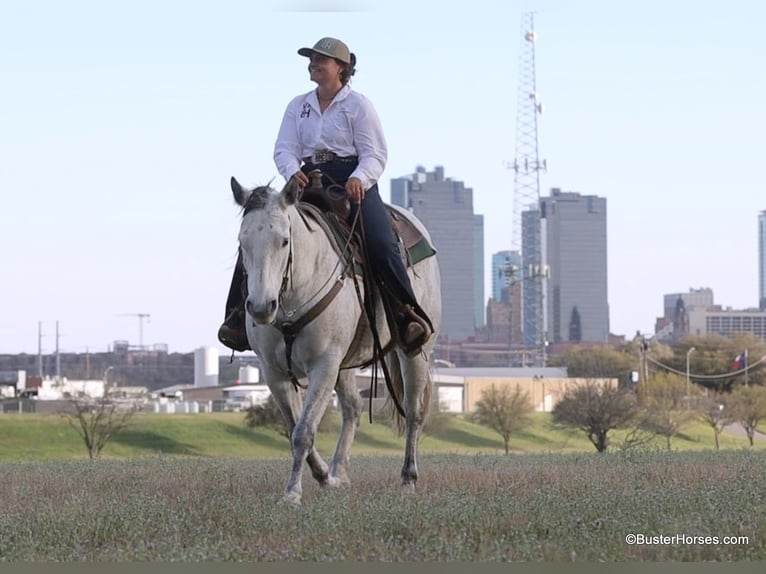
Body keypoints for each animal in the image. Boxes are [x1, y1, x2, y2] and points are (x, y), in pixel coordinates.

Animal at [229, 175, 442, 505]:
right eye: (243, 242)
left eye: (284, 241)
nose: (261, 308)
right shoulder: (274, 371)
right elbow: (294, 427)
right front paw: (323, 476)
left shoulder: (324, 364)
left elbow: (303, 431)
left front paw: (292, 493)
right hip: (346, 363)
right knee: (353, 408)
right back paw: (339, 472)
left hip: (415, 352)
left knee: (414, 411)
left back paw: (408, 478)